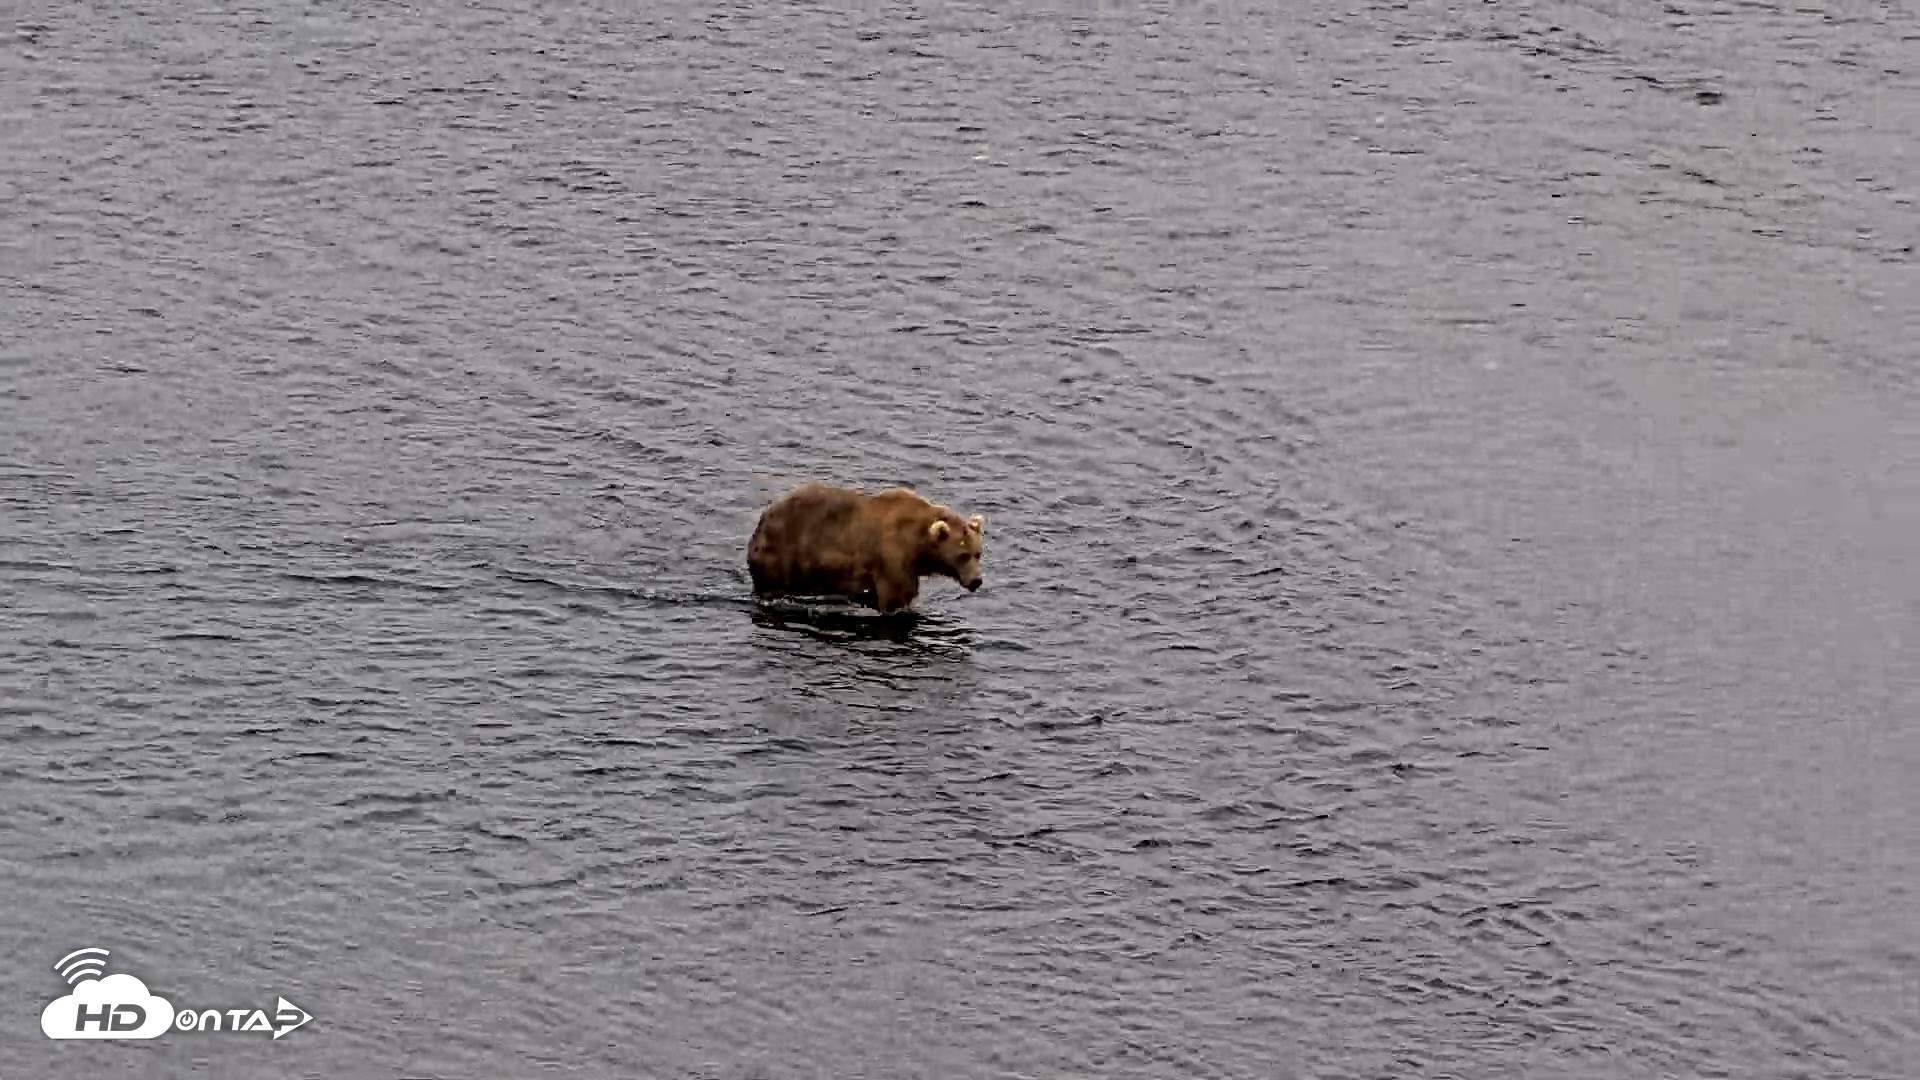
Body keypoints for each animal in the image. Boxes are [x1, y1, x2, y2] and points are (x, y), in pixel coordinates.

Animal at [747, 483, 986, 614]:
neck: (917, 545)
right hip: (784, 554)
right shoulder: (892, 558)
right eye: (962, 555)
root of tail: (764, 516)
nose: (977, 580)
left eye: (978, 554)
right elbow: (897, 597)